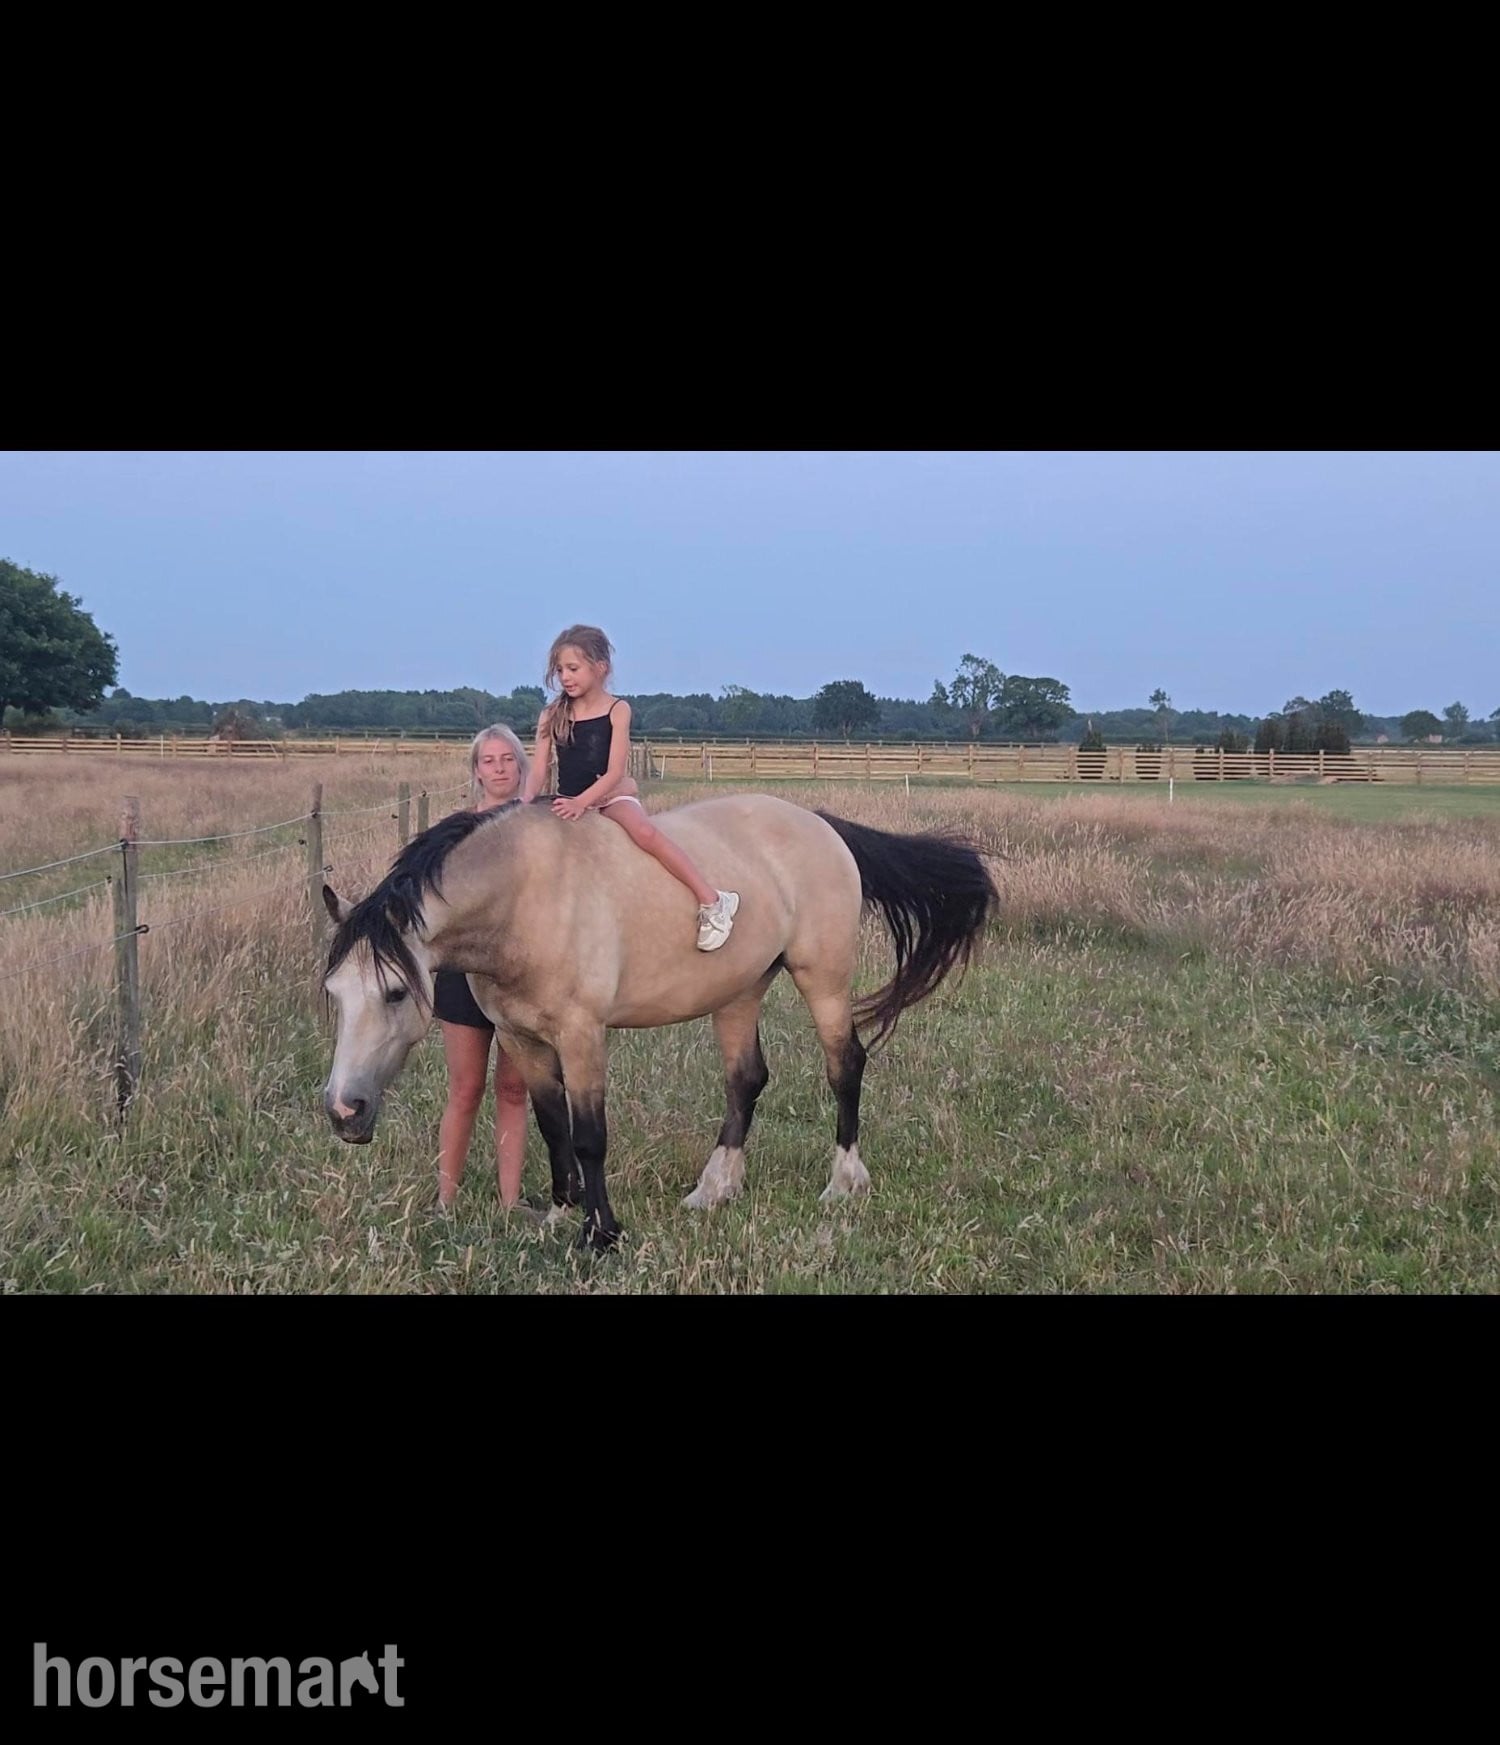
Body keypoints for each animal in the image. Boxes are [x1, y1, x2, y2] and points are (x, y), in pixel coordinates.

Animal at [322, 793, 996, 1252]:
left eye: (394, 992)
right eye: (333, 994)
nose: (344, 1111)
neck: (523, 896)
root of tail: (820, 823)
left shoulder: (582, 1036)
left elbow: (590, 1136)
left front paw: (602, 1235)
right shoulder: (522, 1040)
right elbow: (552, 1128)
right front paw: (560, 1216)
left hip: (823, 979)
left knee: (844, 1066)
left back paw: (843, 1182)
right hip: (739, 991)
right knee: (746, 1080)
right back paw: (714, 1189)